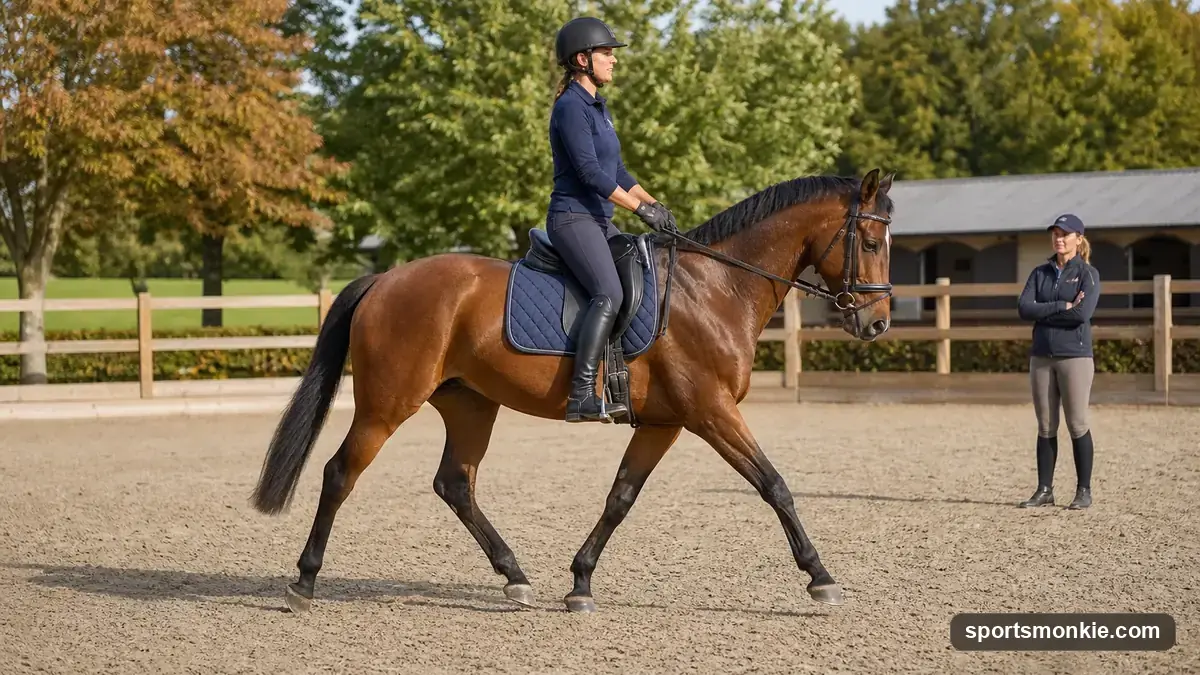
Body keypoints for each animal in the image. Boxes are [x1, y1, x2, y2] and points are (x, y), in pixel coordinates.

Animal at [249, 168, 896, 614]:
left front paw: (580, 581)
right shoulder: (711, 413)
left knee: (455, 483)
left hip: (470, 404)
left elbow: (620, 498)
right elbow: (774, 485)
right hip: (387, 406)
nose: (878, 323)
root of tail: (386, 278)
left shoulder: (665, 422)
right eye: (869, 241)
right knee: (340, 473)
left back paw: (514, 577)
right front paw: (821, 579)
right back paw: (304, 581)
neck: (715, 286)